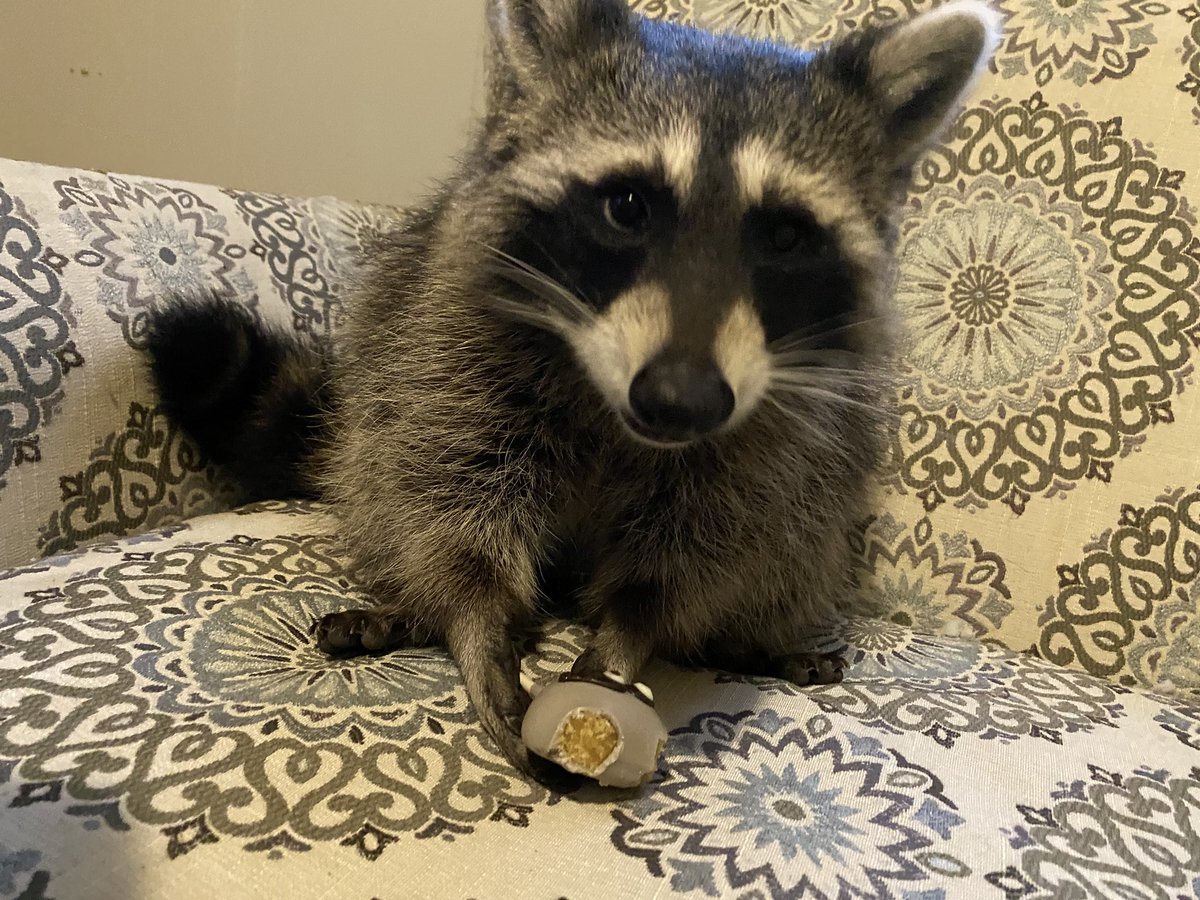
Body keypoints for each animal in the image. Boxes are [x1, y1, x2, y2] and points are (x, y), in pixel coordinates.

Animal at [147, 0, 999, 783]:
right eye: (627, 206)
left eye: (785, 236)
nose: (682, 398)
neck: (614, 401)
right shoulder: (451, 341)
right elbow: (447, 487)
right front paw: (475, 615)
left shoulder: (777, 423)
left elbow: (705, 543)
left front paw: (630, 629)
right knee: (380, 476)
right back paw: (413, 603)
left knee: (796, 537)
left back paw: (751, 635)